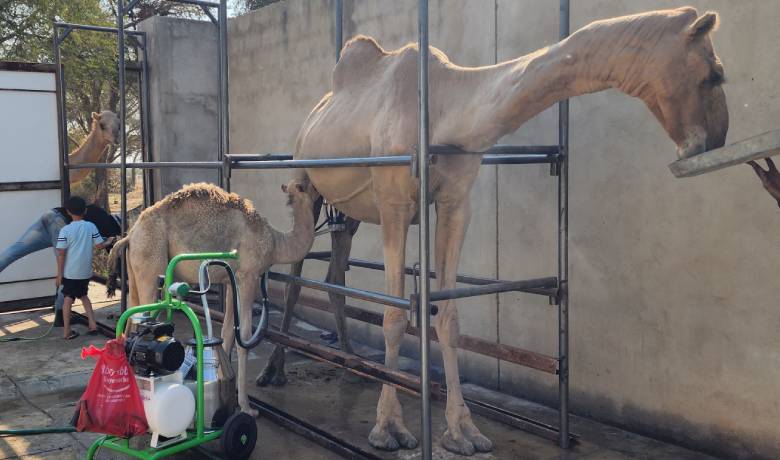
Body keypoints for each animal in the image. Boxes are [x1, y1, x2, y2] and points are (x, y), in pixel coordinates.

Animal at [106, 180, 314, 416]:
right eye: (305, 187)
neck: (276, 241)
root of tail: (130, 235)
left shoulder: (231, 281)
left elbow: (228, 332)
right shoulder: (248, 276)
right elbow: (245, 336)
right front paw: (246, 407)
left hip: (135, 270)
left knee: (130, 319)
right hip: (150, 261)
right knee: (142, 318)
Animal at [258, 7, 728, 456]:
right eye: (714, 74)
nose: (716, 139)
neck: (443, 108)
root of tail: (314, 114)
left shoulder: (454, 204)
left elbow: (448, 317)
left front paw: (463, 431)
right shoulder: (395, 204)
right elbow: (394, 315)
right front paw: (389, 428)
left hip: (349, 210)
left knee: (335, 274)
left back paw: (352, 361)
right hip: (305, 182)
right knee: (296, 278)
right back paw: (273, 369)